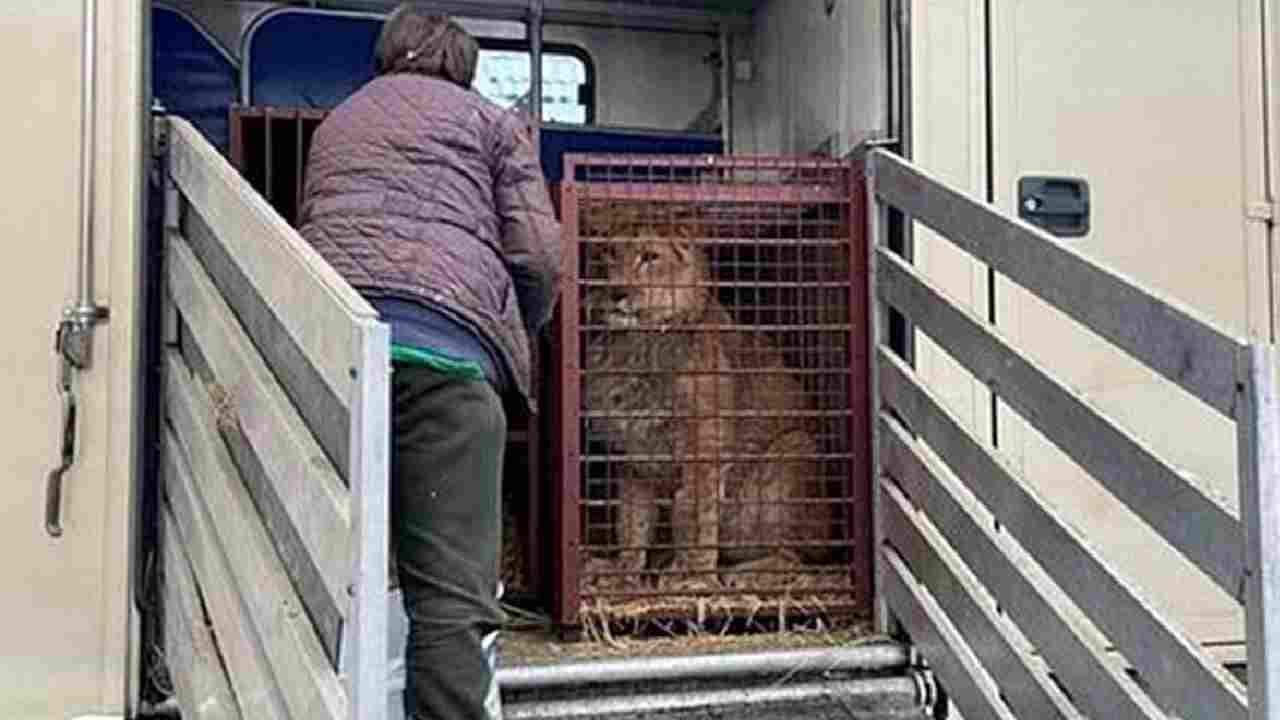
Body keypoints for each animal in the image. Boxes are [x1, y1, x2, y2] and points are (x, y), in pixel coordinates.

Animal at [581, 230, 829, 589]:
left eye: (650, 257)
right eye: (608, 255)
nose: (617, 292)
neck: (637, 345)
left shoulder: (704, 447)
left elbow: (693, 514)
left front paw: (693, 578)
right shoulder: (635, 457)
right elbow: (632, 520)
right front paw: (624, 574)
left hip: (794, 448)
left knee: (797, 557)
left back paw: (745, 575)